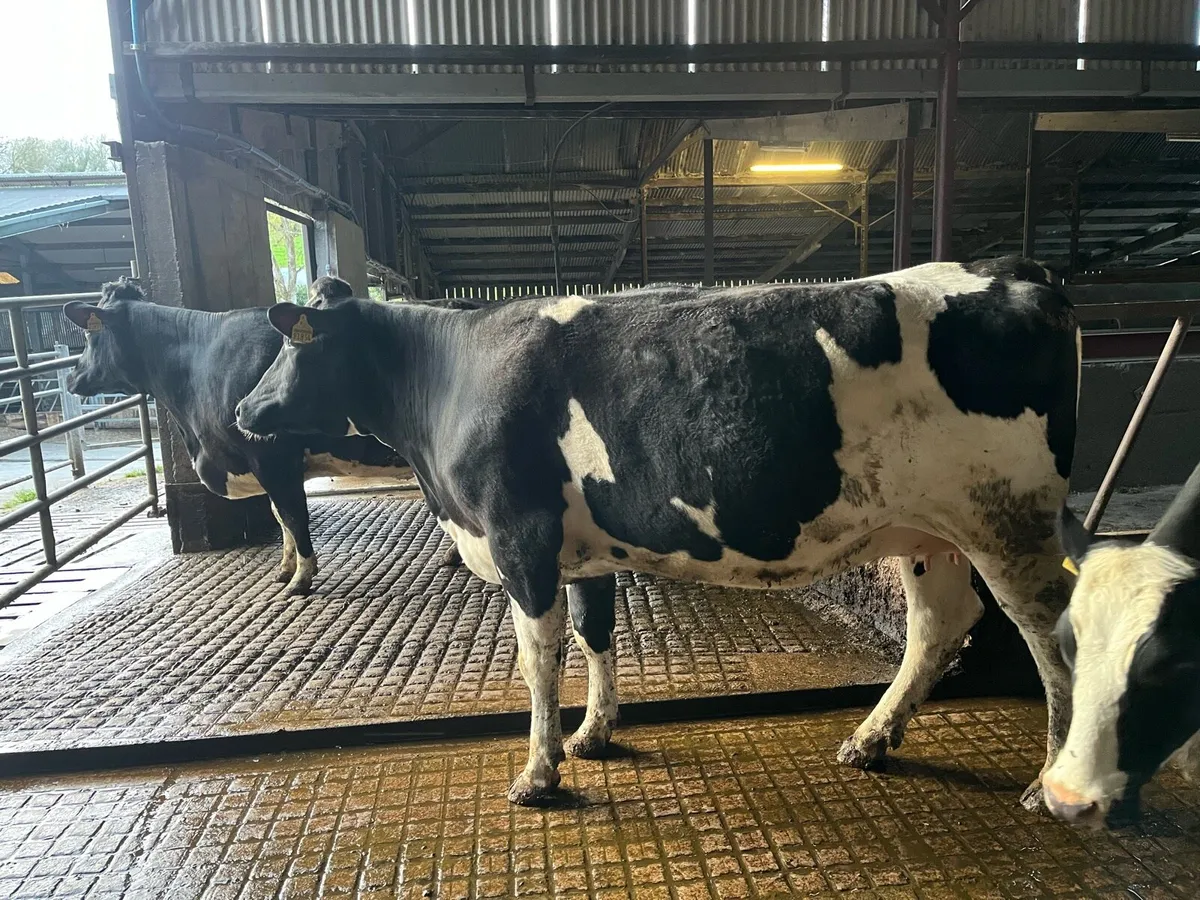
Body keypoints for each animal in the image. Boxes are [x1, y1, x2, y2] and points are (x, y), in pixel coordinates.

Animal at [61, 278, 414, 595]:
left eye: (90, 334)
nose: (71, 376)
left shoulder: (272, 458)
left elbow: (293, 515)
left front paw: (301, 578)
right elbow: (279, 515)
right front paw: (285, 570)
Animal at [236, 257, 1080, 808]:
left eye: (293, 344)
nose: (244, 411)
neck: (448, 378)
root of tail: (1014, 276)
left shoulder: (519, 535)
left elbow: (537, 659)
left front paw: (539, 773)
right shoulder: (578, 553)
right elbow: (594, 635)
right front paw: (594, 735)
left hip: (1008, 519)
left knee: (1054, 636)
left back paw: (1050, 783)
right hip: (929, 530)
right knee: (938, 625)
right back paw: (870, 740)